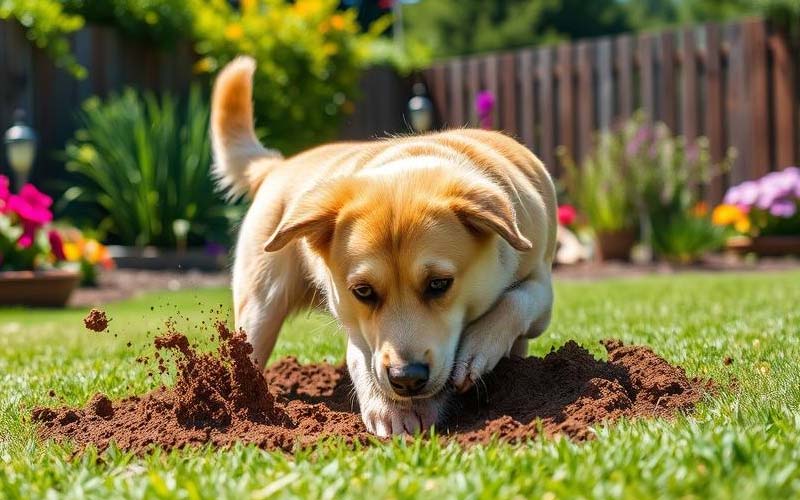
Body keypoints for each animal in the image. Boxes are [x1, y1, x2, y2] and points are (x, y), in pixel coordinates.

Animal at [209, 55, 552, 438]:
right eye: (363, 291)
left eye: (439, 284)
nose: (407, 379)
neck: (416, 163)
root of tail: (278, 166)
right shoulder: (353, 320)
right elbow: (361, 358)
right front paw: (389, 408)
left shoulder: (541, 286)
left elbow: (516, 300)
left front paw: (479, 346)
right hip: (260, 309)